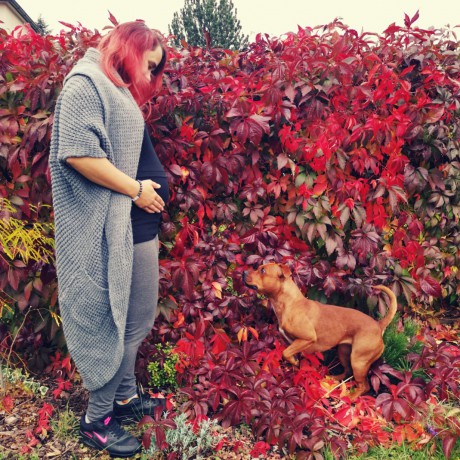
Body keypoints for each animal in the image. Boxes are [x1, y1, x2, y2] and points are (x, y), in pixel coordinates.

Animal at [243, 263, 397, 399]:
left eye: (263, 271)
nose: (244, 272)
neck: (291, 303)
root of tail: (378, 324)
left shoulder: (307, 339)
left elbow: (286, 353)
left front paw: (294, 362)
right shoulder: (293, 344)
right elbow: (293, 360)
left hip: (358, 361)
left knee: (364, 386)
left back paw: (350, 398)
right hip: (344, 352)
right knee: (347, 371)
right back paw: (333, 380)